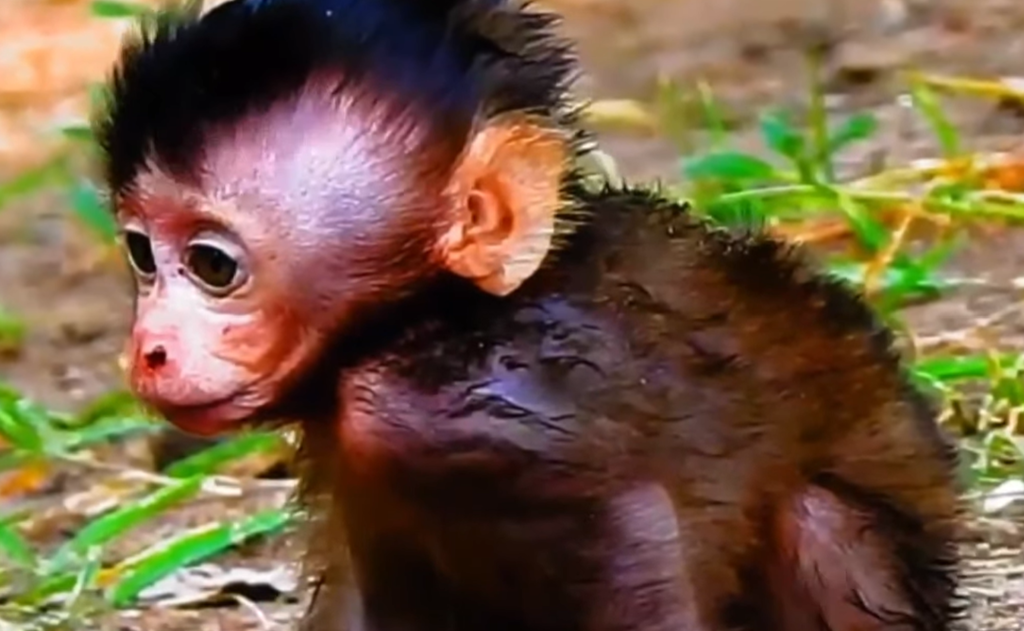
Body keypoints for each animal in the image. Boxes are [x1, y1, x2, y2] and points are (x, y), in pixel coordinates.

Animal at [93, 0, 964, 629]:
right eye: (141, 253)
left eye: (214, 265)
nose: (149, 348)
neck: (439, 319)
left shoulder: (463, 414)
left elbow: (638, 551)